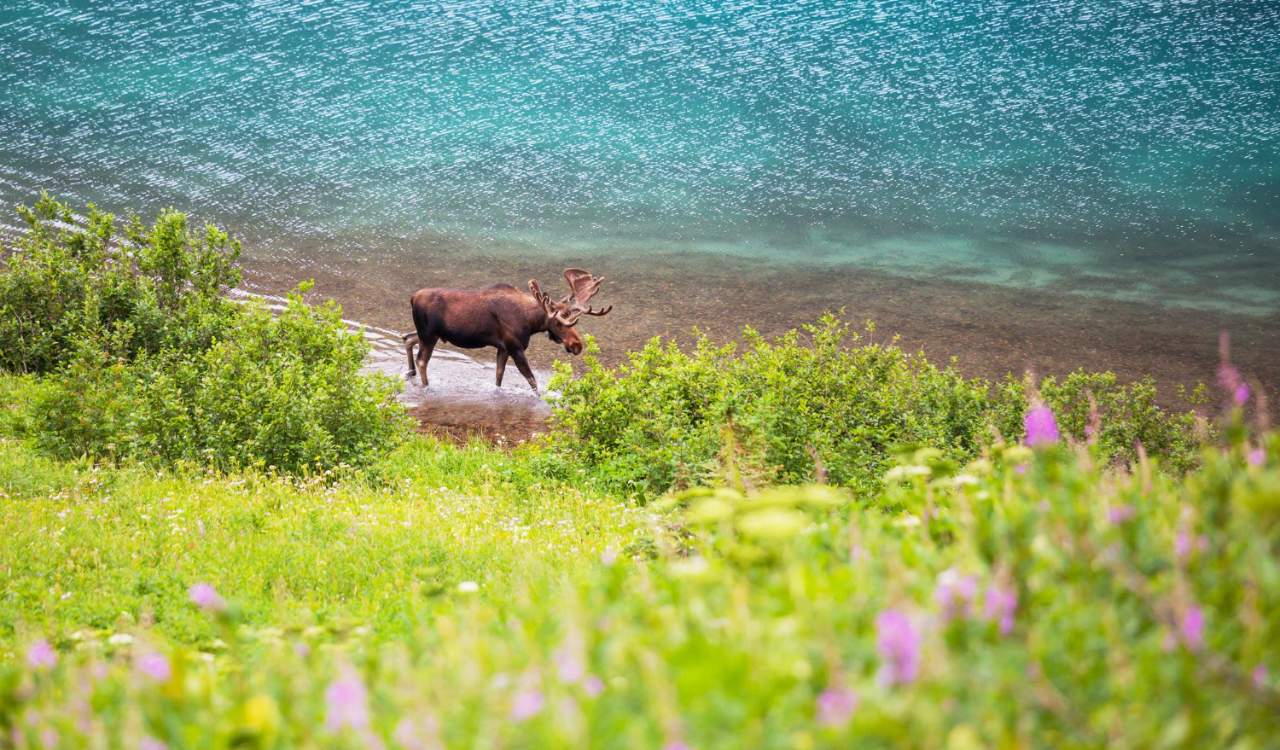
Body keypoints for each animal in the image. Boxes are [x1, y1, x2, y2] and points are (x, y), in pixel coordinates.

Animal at [403, 268, 612, 391]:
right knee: (422, 360)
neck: (531, 322)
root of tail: (412, 298)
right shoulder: (515, 346)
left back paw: (410, 372)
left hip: (429, 334)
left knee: (407, 337)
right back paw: (426, 385)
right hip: (429, 335)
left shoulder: (502, 347)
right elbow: (532, 380)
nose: (577, 345)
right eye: (560, 323)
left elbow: (499, 376)